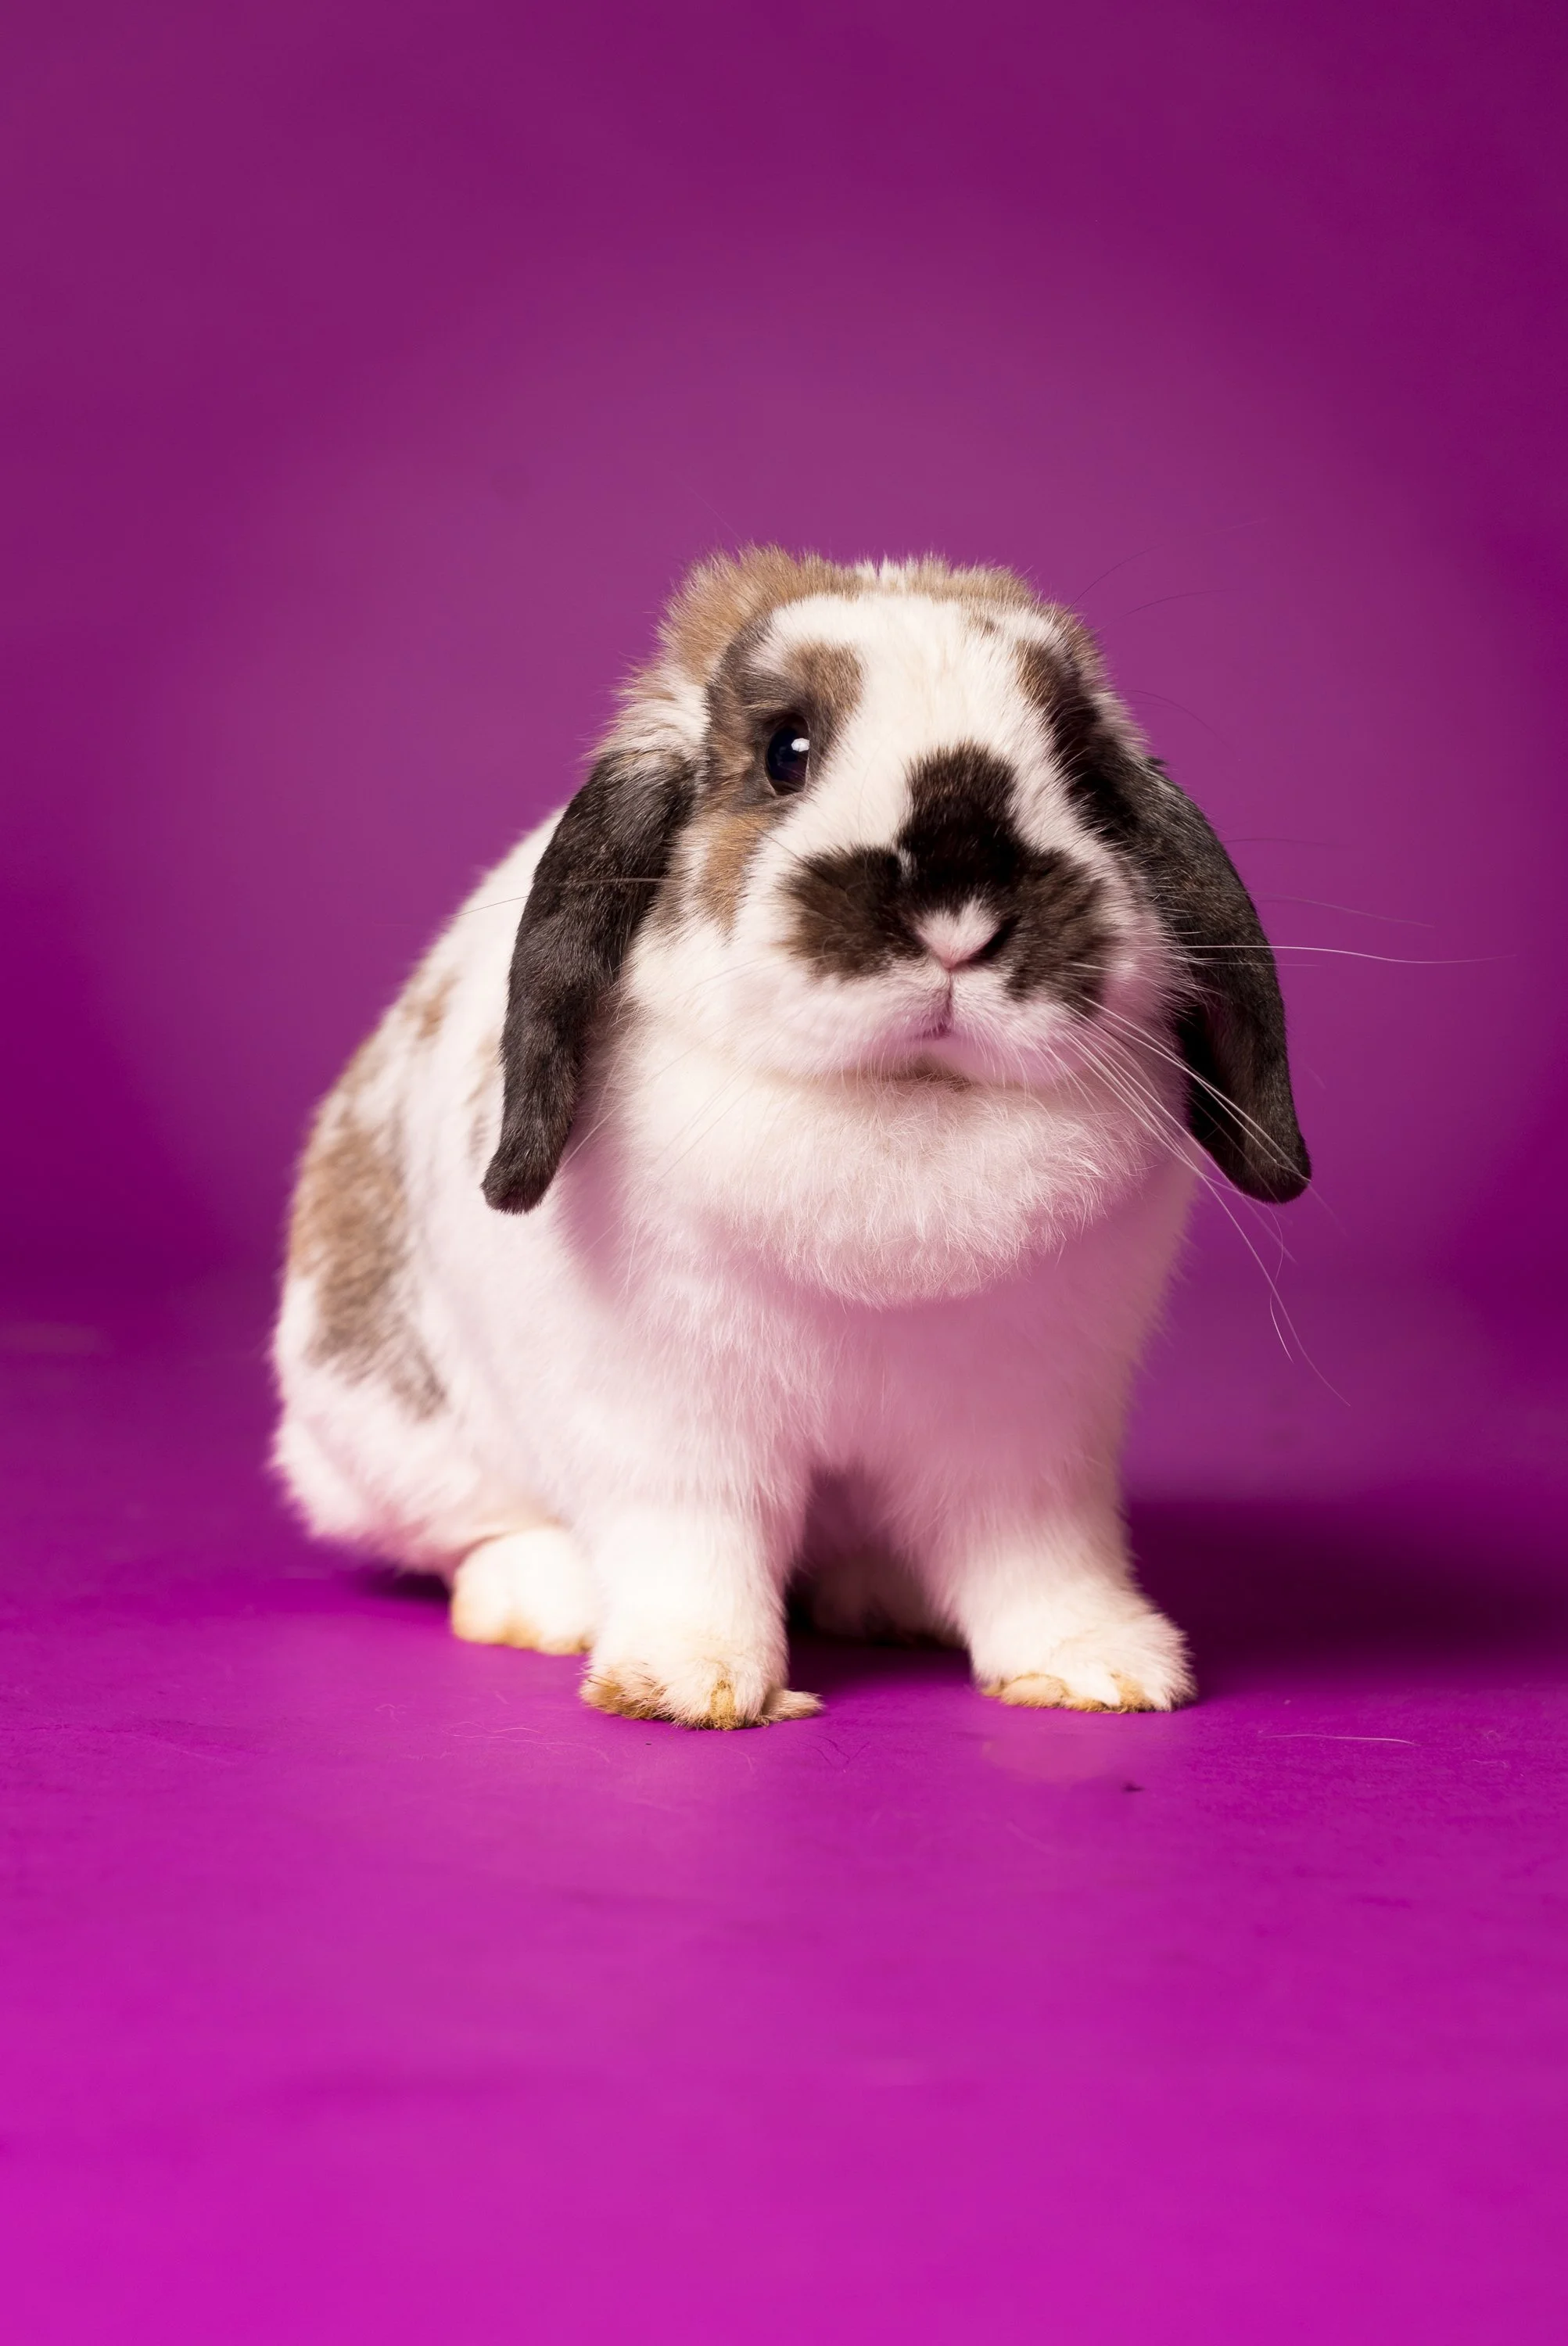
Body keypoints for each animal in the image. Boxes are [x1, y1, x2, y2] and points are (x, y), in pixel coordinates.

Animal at [273, 548, 1309, 1727]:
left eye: (1084, 775)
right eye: (786, 752)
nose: (958, 918)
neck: (901, 1111)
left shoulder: (1030, 1436)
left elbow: (1038, 1555)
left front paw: (1098, 1667)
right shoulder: (667, 1423)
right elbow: (694, 1544)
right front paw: (688, 1683)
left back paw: (889, 1599)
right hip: (387, 1440)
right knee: (476, 1530)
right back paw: (543, 1600)